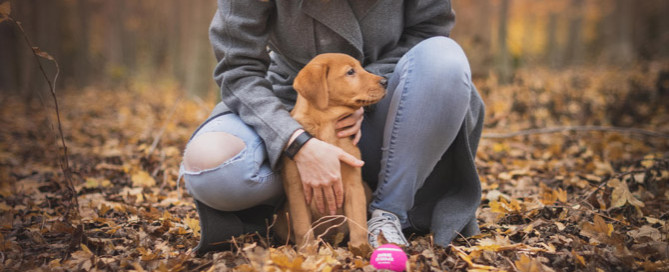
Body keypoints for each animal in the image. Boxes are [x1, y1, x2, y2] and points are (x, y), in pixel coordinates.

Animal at [274, 53, 384, 255]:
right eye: (350, 72)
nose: (385, 81)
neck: (326, 127)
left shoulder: (354, 186)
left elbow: (358, 225)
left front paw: (361, 252)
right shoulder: (296, 190)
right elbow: (303, 229)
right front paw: (307, 256)